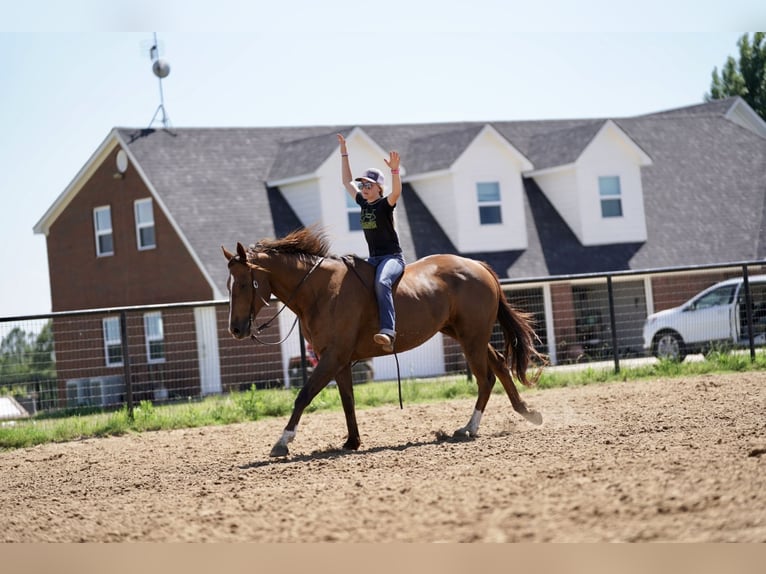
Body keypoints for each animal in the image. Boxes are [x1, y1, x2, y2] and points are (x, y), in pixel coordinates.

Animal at [222, 227, 544, 456]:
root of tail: (476, 265)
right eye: (229, 284)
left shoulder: (332, 357)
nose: (235, 329)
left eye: (243, 284)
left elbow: (304, 395)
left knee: (485, 378)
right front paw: (352, 441)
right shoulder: (339, 361)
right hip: (464, 334)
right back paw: (526, 411)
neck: (321, 291)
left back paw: (470, 428)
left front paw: (283, 441)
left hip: (472, 337)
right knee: (500, 366)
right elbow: (348, 401)